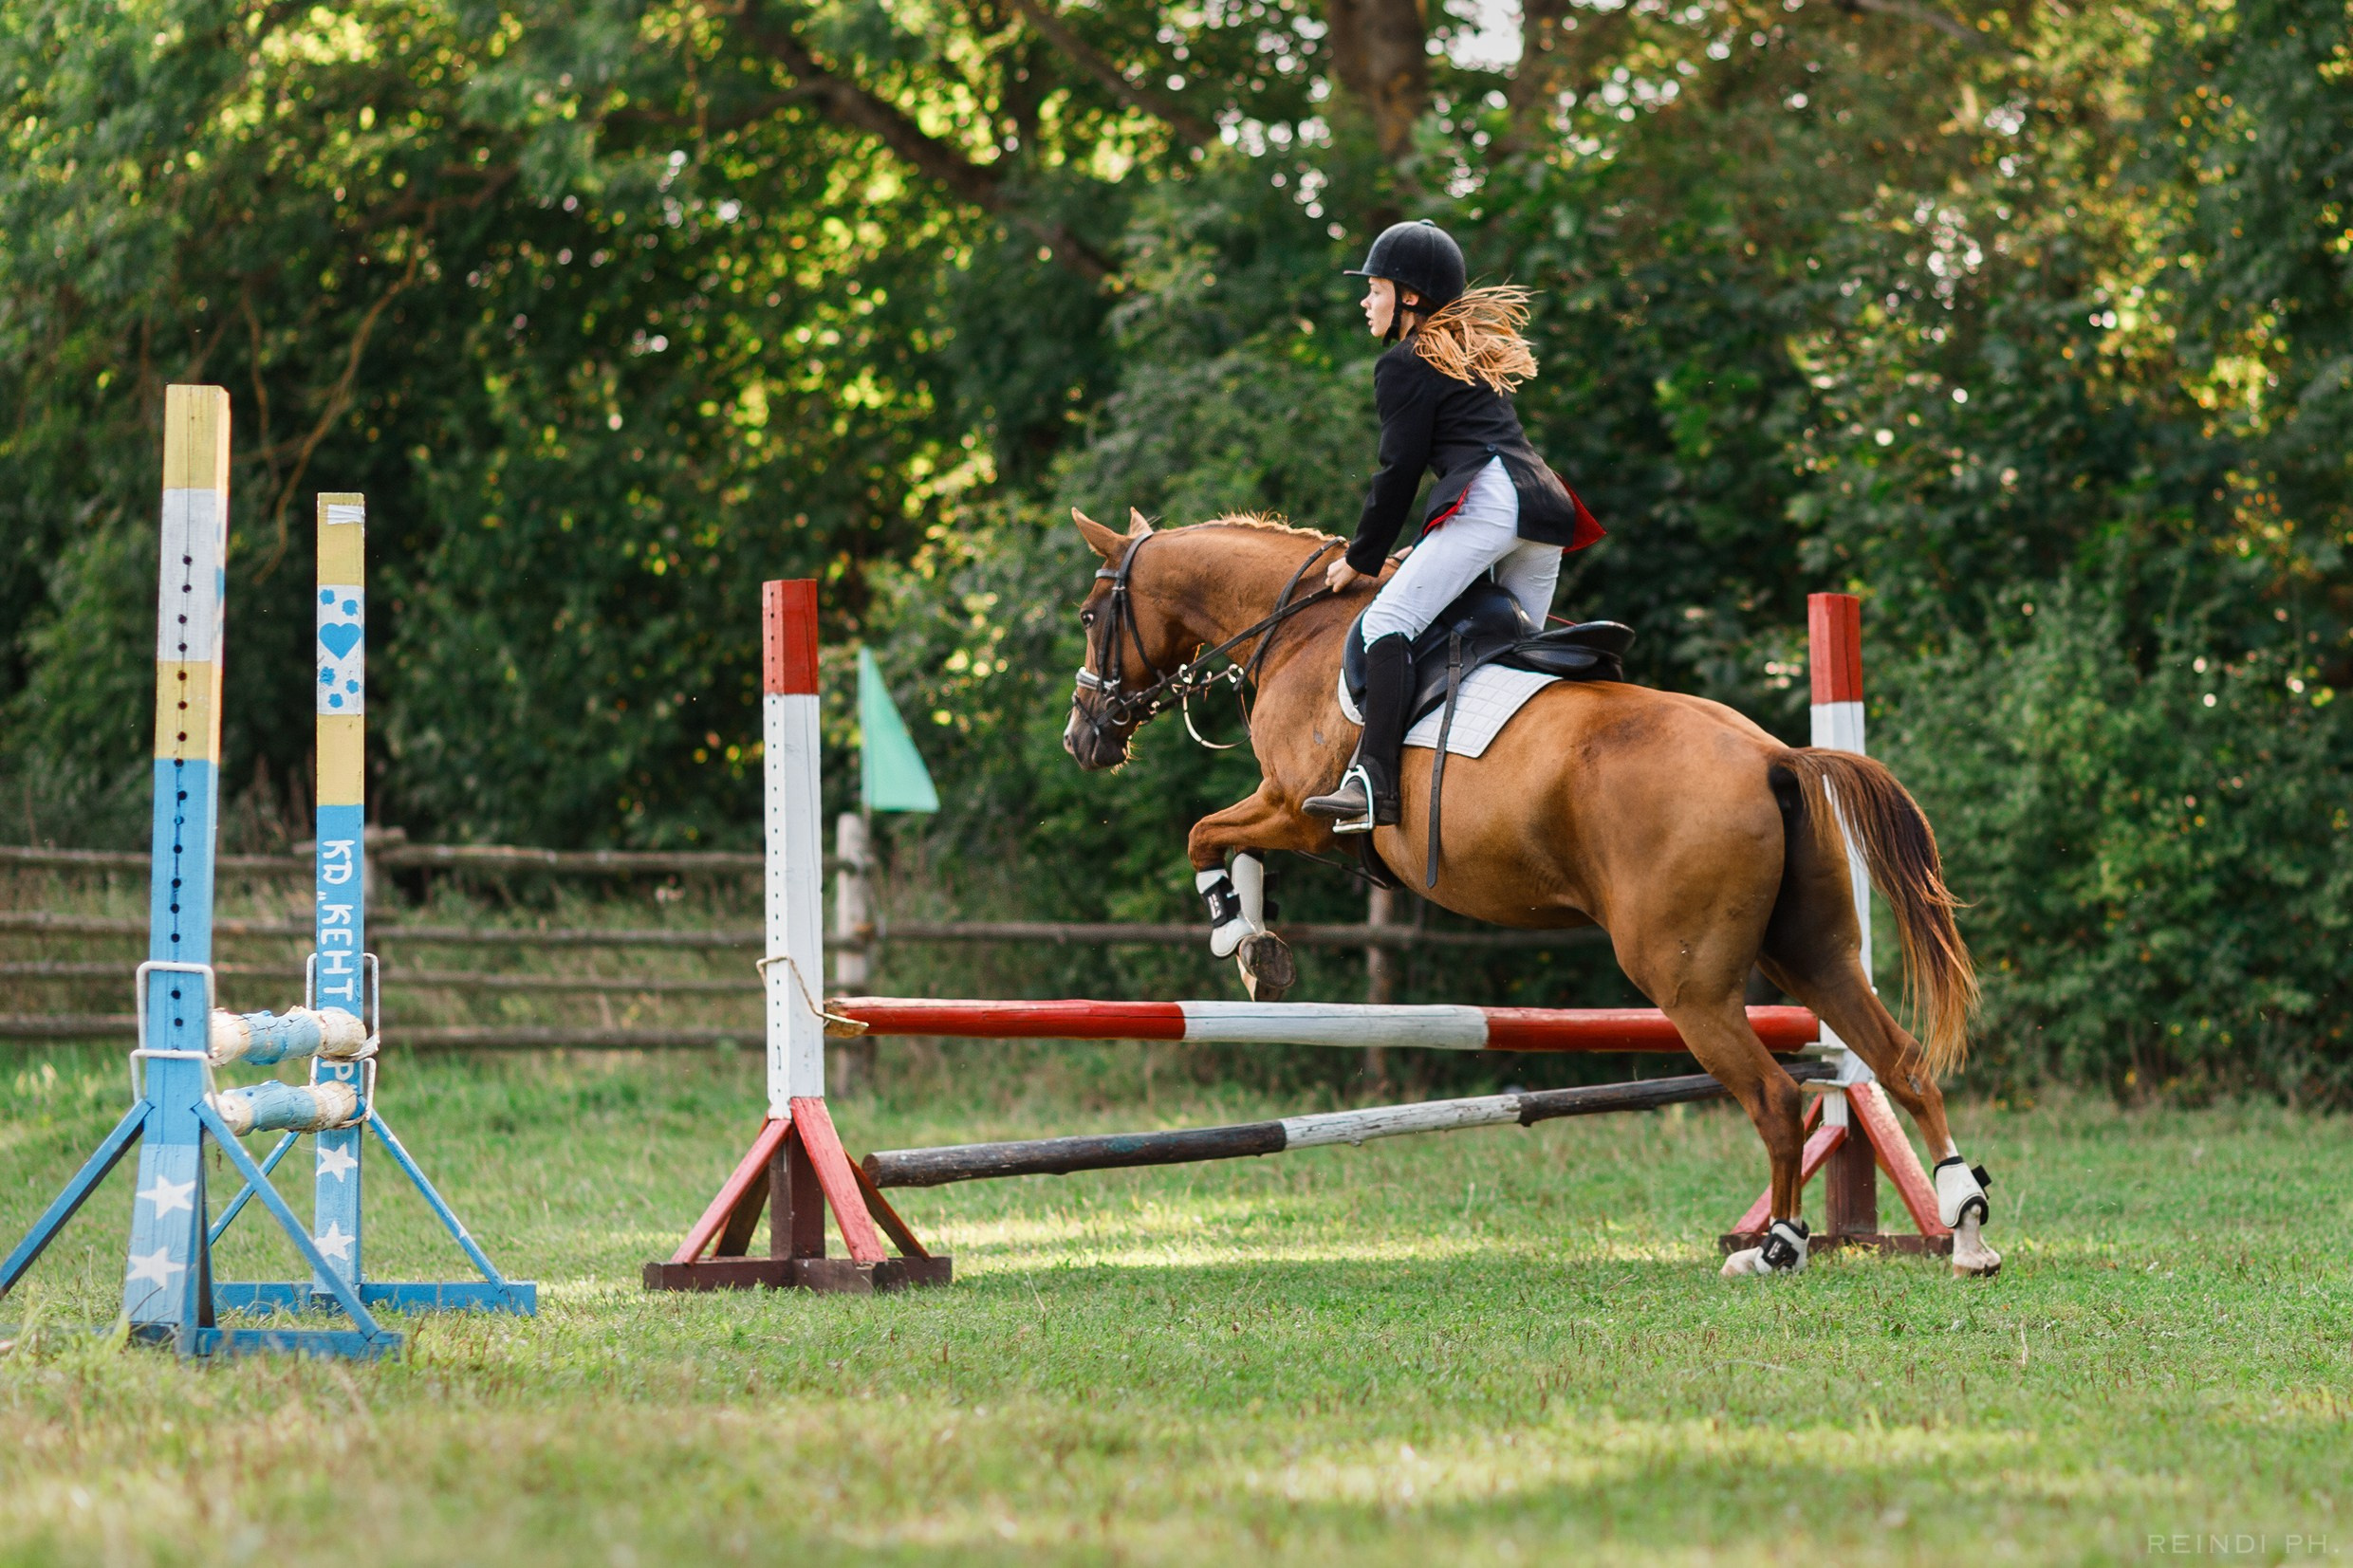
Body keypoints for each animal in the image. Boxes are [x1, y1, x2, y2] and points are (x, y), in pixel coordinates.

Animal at [1059, 507, 2000, 1278]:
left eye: (1089, 616)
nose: (1082, 737)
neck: (1298, 628)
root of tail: (1775, 756)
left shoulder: (1297, 807)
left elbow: (1204, 834)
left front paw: (1239, 936)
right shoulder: (1285, 813)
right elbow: (1228, 842)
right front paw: (1259, 947)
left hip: (1688, 983)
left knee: (1776, 1097)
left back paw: (1778, 1248)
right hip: (1813, 953)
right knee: (1902, 1063)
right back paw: (1964, 1228)